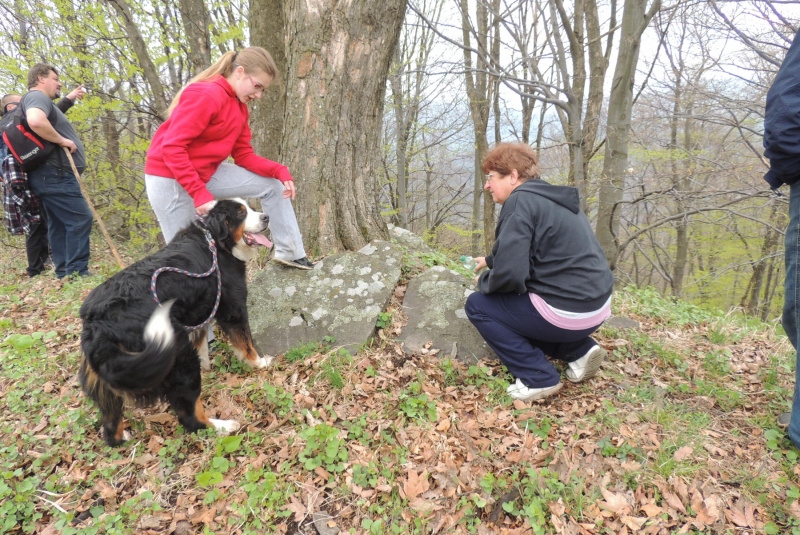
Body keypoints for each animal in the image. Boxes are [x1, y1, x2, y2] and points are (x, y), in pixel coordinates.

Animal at [79, 199, 272, 446]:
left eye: (250, 207)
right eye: (241, 213)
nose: (266, 217)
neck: (215, 241)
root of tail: (97, 323)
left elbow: (202, 343)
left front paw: (208, 367)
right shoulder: (232, 305)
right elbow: (245, 341)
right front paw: (259, 362)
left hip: (110, 376)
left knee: (110, 426)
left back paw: (122, 438)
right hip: (177, 354)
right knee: (189, 416)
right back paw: (222, 426)